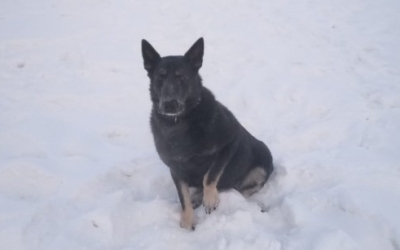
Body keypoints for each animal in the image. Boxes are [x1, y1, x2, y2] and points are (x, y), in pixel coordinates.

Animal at [141, 37, 276, 230]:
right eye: (160, 77)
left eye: (182, 78)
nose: (169, 104)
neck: (180, 122)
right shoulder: (175, 168)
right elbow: (183, 197)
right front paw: (187, 221)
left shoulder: (230, 142)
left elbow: (209, 176)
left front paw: (210, 199)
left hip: (262, 165)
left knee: (237, 188)